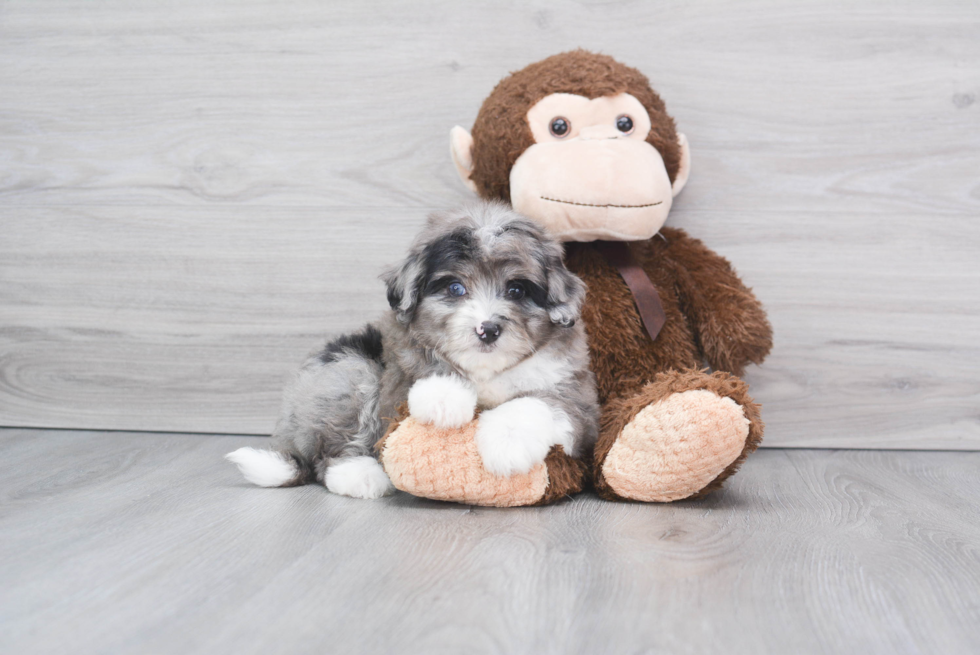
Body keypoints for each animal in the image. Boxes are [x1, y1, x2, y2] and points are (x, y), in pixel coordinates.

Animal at [228, 202, 596, 500]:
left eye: (517, 290)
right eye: (455, 288)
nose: (488, 329)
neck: (485, 370)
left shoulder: (577, 399)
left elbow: (537, 403)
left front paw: (506, 445)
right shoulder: (398, 372)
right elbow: (426, 375)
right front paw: (445, 400)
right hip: (350, 370)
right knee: (327, 455)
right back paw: (359, 475)